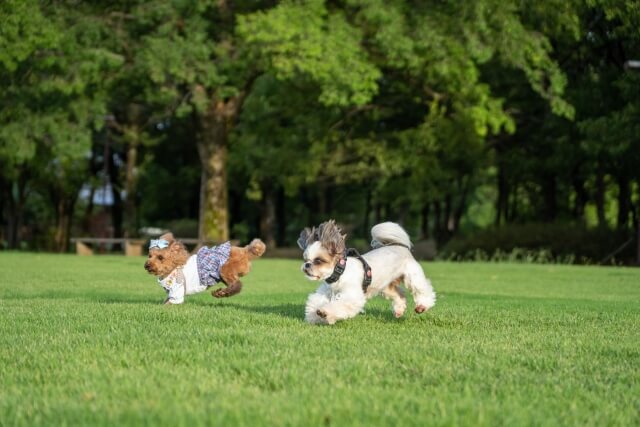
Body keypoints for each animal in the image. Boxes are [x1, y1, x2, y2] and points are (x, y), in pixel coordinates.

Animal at [298, 221, 438, 324]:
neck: (339, 274)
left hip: (412, 276)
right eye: (305, 259)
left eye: (318, 261)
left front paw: (325, 313)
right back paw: (399, 310)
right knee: (400, 294)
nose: (307, 265)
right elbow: (315, 301)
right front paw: (314, 317)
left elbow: (340, 305)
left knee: (422, 289)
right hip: (385, 286)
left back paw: (422, 306)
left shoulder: (351, 296)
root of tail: (399, 246)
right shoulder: (326, 292)